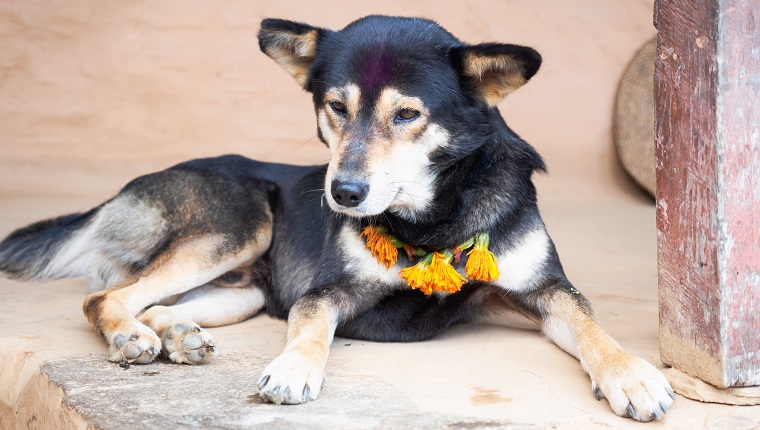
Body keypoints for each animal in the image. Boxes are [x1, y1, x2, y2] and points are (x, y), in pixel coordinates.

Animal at [0, 15, 672, 422]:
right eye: (335, 106)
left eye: (408, 114)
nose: (343, 193)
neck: (432, 216)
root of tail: (126, 187)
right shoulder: (329, 291)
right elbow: (311, 327)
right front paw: (294, 367)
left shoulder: (540, 291)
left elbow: (591, 328)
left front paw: (632, 376)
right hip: (238, 227)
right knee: (108, 298)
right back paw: (130, 337)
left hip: (240, 290)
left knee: (160, 304)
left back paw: (178, 337)